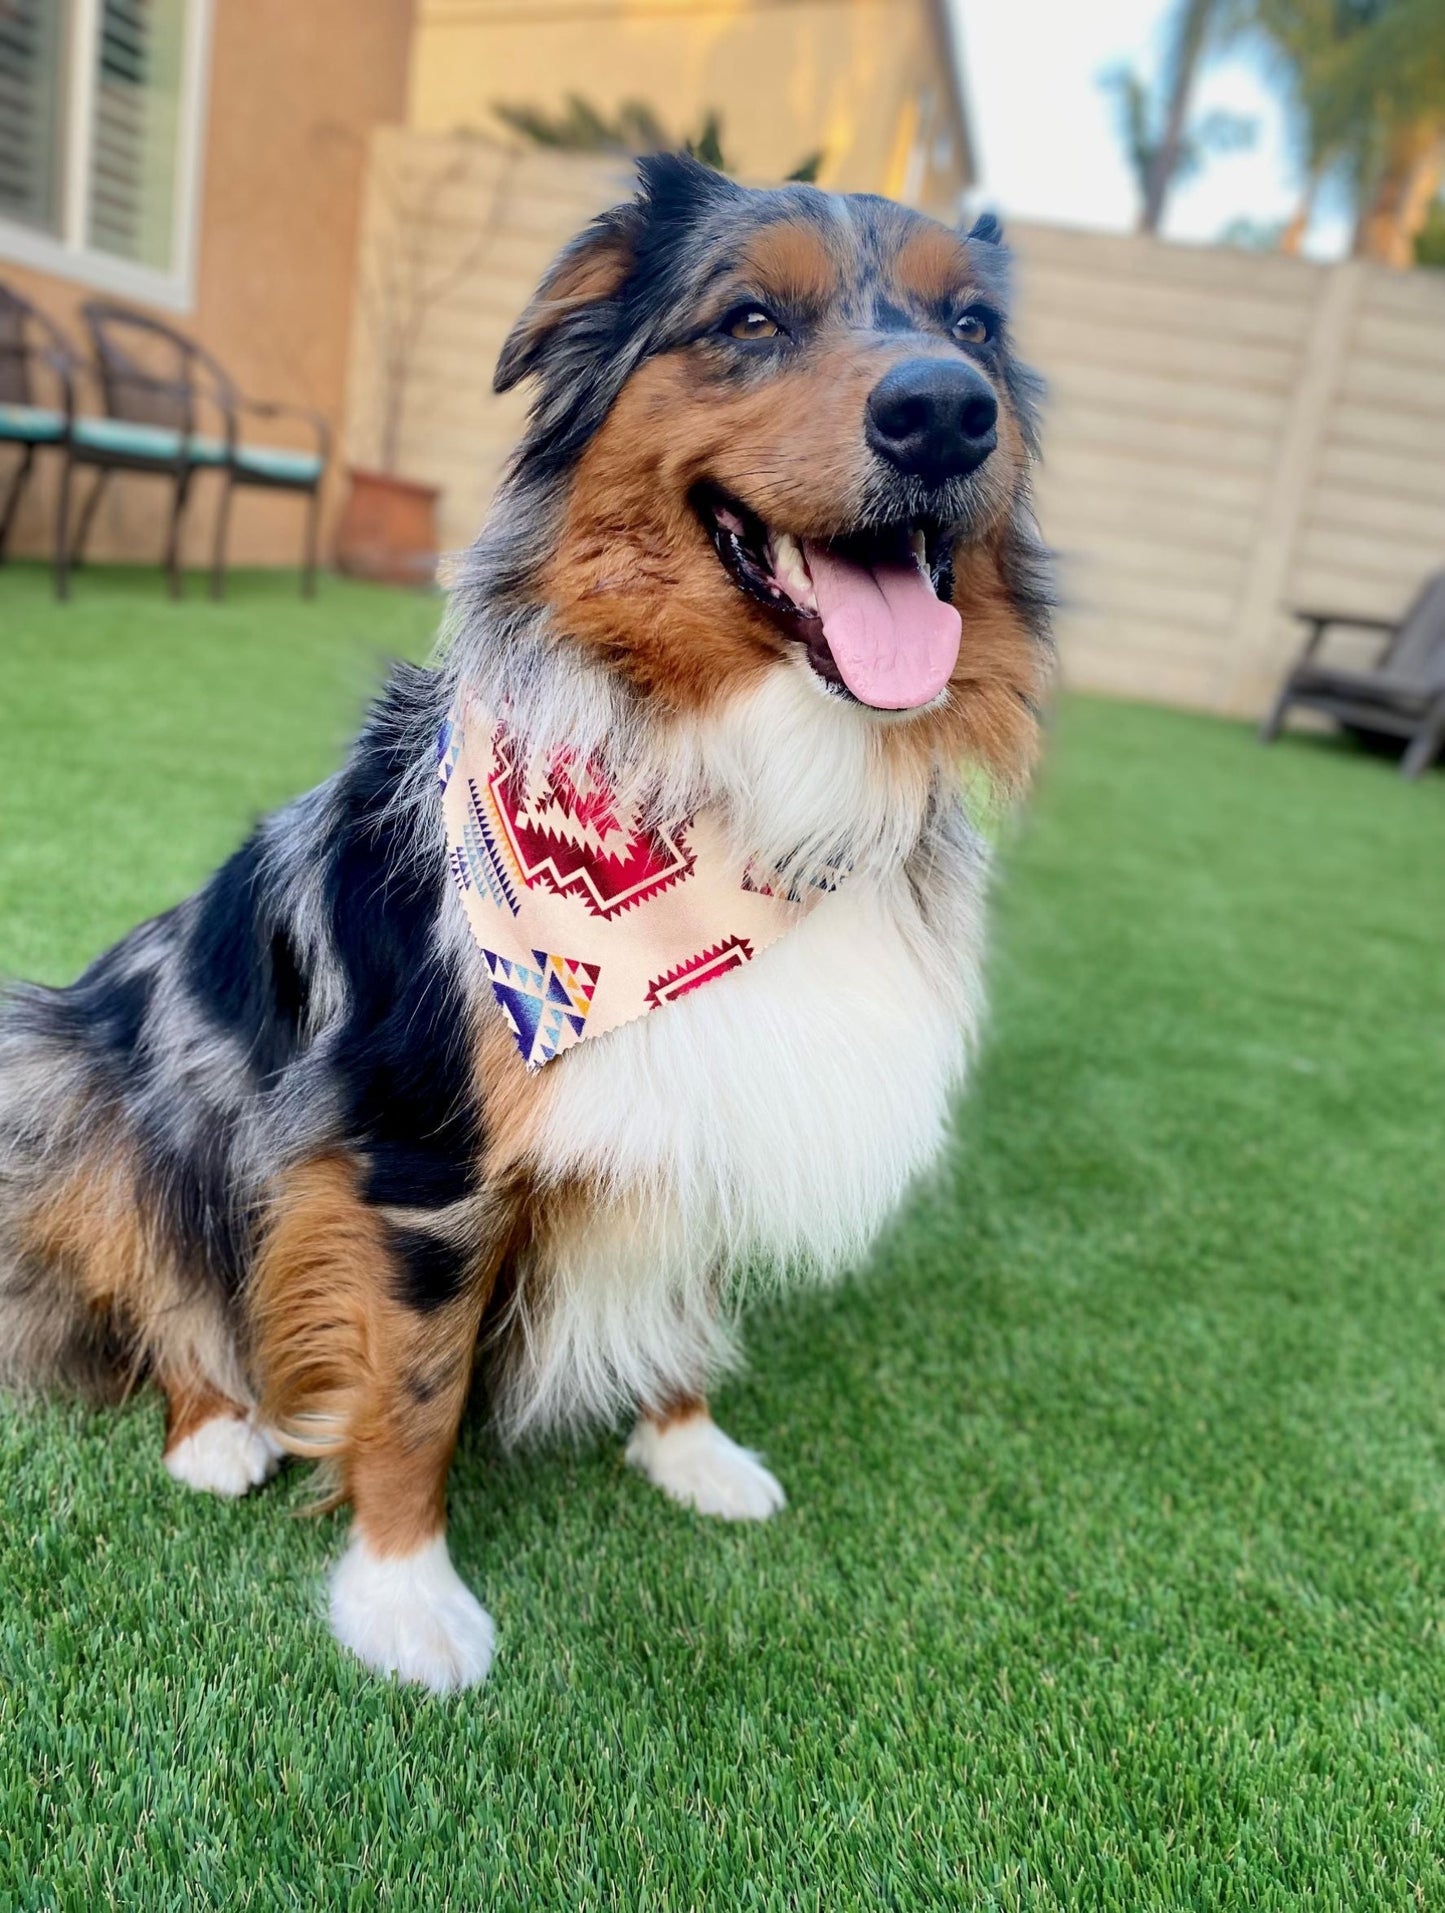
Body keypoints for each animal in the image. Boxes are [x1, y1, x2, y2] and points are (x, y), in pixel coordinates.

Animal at [0, 160, 1048, 1691]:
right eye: (747, 319)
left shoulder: (717, 1083)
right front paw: (403, 1595)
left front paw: (689, 1445)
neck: (725, 782)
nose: (946, 411)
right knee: (160, 1286)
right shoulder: (420, 1153)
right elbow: (415, 1388)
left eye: (971, 328)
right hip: (84, 1077)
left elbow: (690, 1298)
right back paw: (217, 1429)